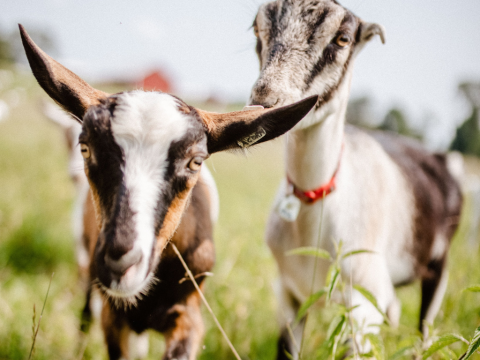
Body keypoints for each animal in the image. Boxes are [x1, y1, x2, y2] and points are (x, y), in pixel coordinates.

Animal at [248, 2, 462, 358]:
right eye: (256, 29)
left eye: (343, 38)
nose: (266, 101)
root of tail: (441, 158)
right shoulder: (288, 295)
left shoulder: (364, 305)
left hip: (438, 267)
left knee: (425, 330)